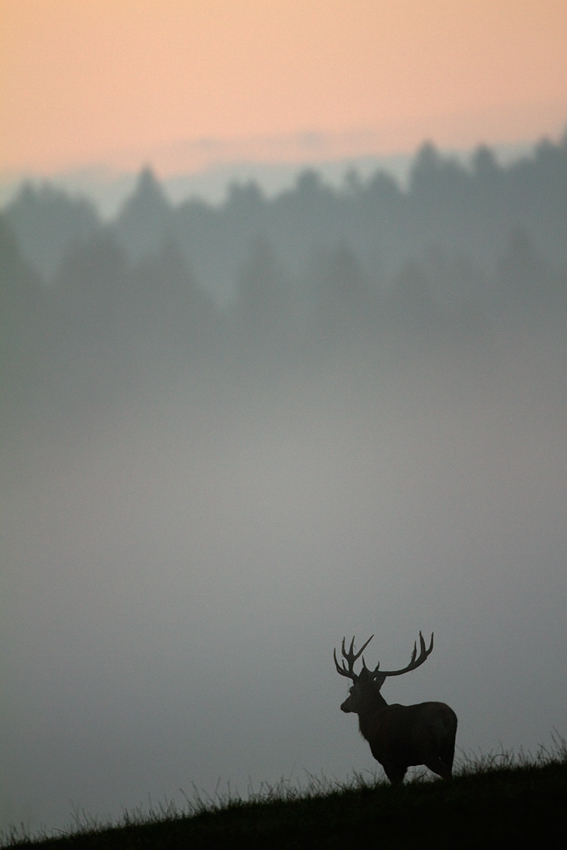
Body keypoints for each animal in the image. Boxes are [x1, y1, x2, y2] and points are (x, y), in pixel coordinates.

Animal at [336, 628, 460, 780]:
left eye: (351, 690)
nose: (343, 705)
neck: (370, 721)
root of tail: (446, 717)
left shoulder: (387, 759)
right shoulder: (402, 764)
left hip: (426, 748)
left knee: (444, 772)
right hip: (449, 747)